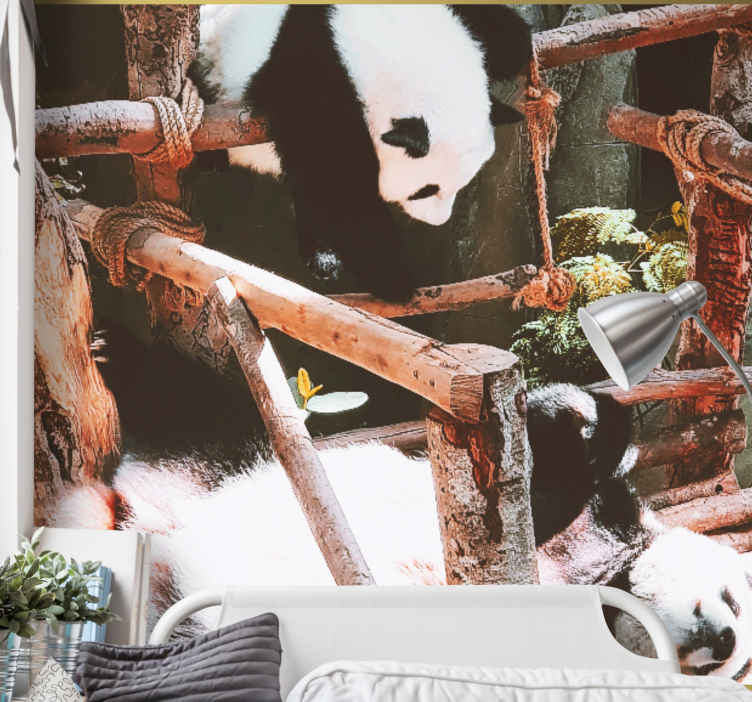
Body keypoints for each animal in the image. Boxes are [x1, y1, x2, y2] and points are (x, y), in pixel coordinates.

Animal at [190, 4, 532, 300]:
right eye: (425, 190)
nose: (438, 221)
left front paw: (515, 44)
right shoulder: (314, 78)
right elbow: (340, 184)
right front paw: (393, 278)